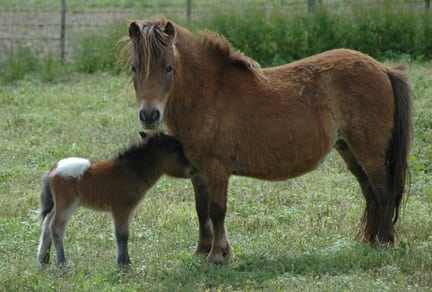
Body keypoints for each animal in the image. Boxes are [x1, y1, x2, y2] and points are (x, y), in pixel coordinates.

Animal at [37, 133, 192, 266]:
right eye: (174, 150)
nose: (193, 170)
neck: (132, 171)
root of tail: (53, 169)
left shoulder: (130, 209)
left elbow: (126, 232)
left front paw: (127, 261)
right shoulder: (120, 209)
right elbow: (122, 235)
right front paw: (122, 265)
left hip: (59, 205)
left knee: (47, 224)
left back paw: (43, 259)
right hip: (67, 204)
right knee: (56, 227)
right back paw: (61, 263)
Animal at [125, 16, 412, 264]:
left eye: (169, 67)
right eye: (134, 67)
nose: (149, 115)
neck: (209, 95)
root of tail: (383, 68)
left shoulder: (216, 169)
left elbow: (217, 210)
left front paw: (217, 255)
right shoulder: (198, 171)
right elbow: (201, 210)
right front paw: (202, 251)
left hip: (370, 153)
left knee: (383, 191)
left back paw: (384, 242)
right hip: (349, 151)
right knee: (370, 193)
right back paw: (370, 241)